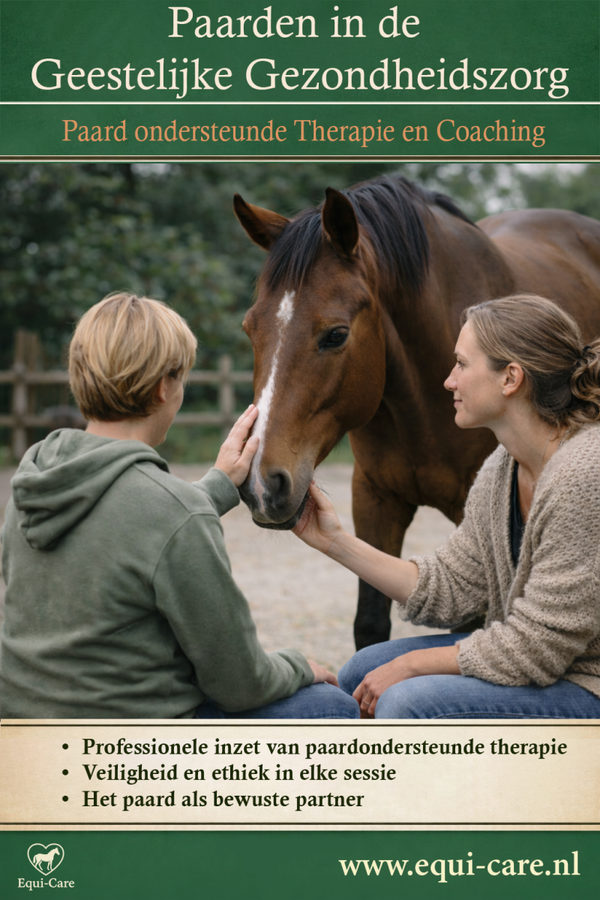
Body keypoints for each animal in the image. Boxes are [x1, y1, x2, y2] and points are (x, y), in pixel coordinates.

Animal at [233, 175, 600, 649]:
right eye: (250, 329)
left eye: (336, 335)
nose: (261, 484)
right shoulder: (374, 499)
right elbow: (371, 623)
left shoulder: (471, 515)